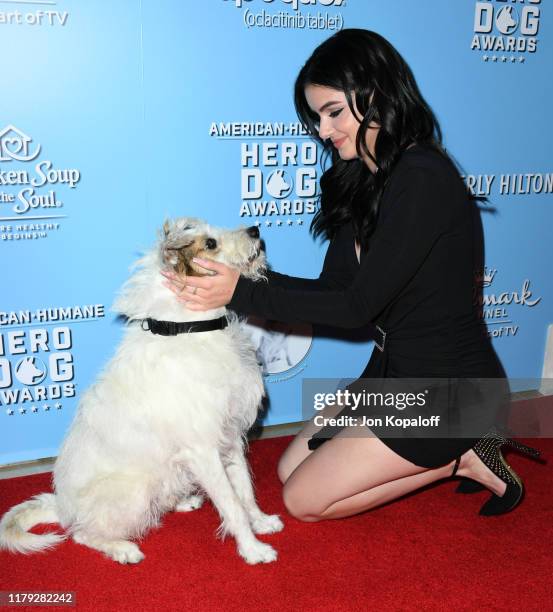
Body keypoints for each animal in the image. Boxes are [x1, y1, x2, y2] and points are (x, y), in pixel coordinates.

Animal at [0, 218, 282, 568]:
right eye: (211, 244)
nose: (255, 229)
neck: (192, 328)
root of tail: (63, 506)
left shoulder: (229, 438)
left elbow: (245, 490)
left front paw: (261, 521)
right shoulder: (203, 450)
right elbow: (232, 504)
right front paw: (252, 549)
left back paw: (182, 501)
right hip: (136, 489)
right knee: (82, 533)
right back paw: (121, 548)